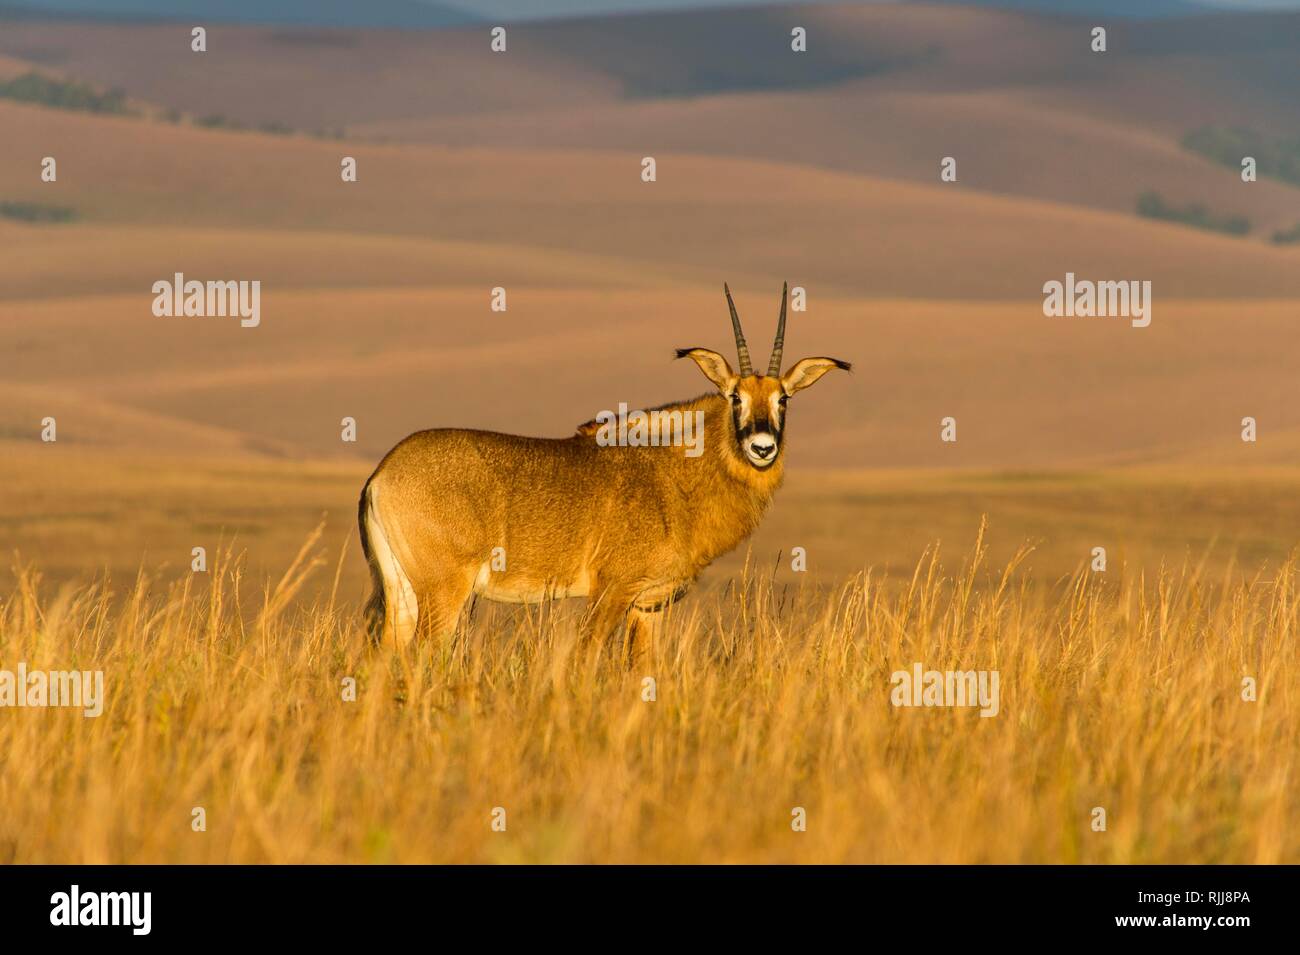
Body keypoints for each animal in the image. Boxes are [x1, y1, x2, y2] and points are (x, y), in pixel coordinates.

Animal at [358, 285, 842, 657]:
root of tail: (381, 477)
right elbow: (587, 658)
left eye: (783, 399)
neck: (674, 474)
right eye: (735, 397)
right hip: (444, 592)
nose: (762, 447)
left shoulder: (648, 606)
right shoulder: (612, 592)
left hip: (402, 595)